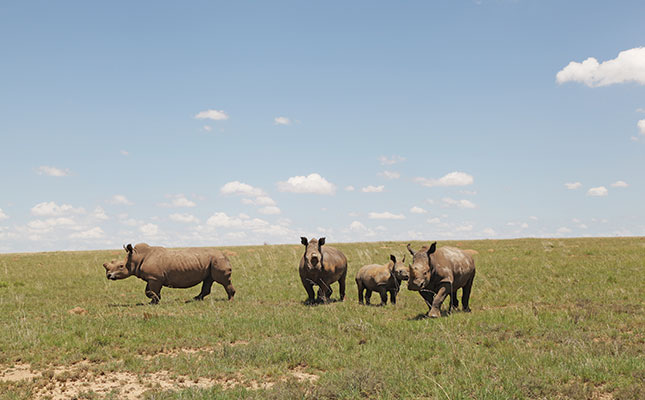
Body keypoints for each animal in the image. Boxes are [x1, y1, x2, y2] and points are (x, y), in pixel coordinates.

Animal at [104, 242, 235, 304]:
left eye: (121, 266)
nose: (108, 275)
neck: (136, 257)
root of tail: (225, 255)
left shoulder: (155, 278)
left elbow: (152, 290)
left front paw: (154, 301)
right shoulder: (152, 277)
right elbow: (148, 290)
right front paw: (156, 299)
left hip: (218, 260)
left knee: (222, 280)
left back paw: (230, 300)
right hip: (212, 261)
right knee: (208, 280)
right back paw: (195, 299)